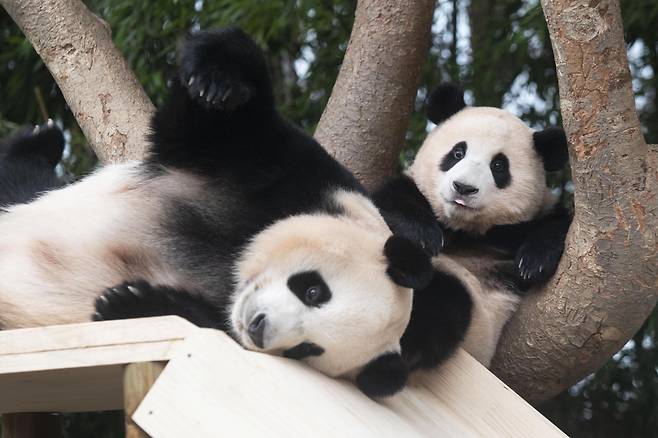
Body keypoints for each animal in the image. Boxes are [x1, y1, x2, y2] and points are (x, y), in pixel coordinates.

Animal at [0, 27, 444, 396]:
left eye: (307, 349)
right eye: (314, 290)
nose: (260, 327)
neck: (235, 255)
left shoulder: (221, 315)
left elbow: (196, 319)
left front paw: (131, 300)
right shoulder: (299, 177)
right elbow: (212, 125)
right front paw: (219, 81)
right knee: (20, 179)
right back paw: (41, 140)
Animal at [374, 83, 568, 370]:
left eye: (498, 165)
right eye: (458, 153)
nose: (463, 188)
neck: (463, 230)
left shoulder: (517, 232)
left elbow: (558, 226)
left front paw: (534, 262)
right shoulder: (410, 193)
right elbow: (391, 201)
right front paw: (424, 236)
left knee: (441, 302)